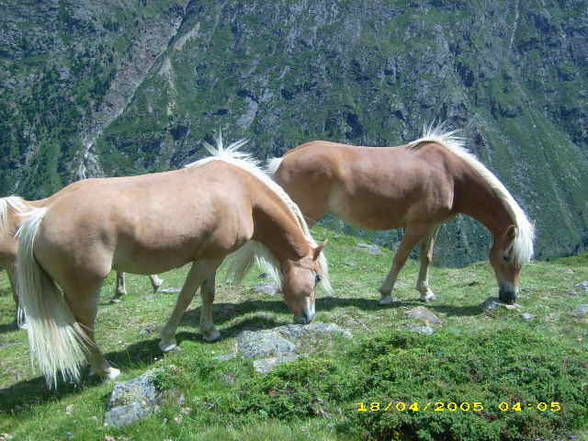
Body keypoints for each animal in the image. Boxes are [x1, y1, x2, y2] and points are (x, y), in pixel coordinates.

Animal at [17, 137, 330, 384]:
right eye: (316, 277)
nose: (308, 317)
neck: (242, 192)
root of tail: (41, 217)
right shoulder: (206, 260)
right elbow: (186, 296)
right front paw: (168, 341)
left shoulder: (211, 257)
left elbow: (208, 294)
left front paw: (209, 332)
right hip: (85, 288)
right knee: (84, 326)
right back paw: (105, 370)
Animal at [268, 127, 536, 304]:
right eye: (506, 256)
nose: (510, 297)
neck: (450, 174)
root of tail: (283, 159)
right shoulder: (416, 225)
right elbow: (401, 257)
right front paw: (386, 293)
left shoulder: (432, 226)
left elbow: (426, 257)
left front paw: (425, 292)